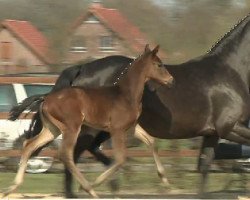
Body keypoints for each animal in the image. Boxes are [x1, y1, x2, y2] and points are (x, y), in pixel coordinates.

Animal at [2, 44, 173, 198]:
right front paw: (95, 183)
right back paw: (88, 189)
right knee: (65, 154)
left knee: (29, 145)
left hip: (52, 129)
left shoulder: (131, 127)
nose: (171, 80)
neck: (125, 94)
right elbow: (120, 159)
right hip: (72, 127)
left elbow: (151, 142)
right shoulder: (117, 129)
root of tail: (46, 97)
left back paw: (11, 188)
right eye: (159, 64)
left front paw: (165, 180)